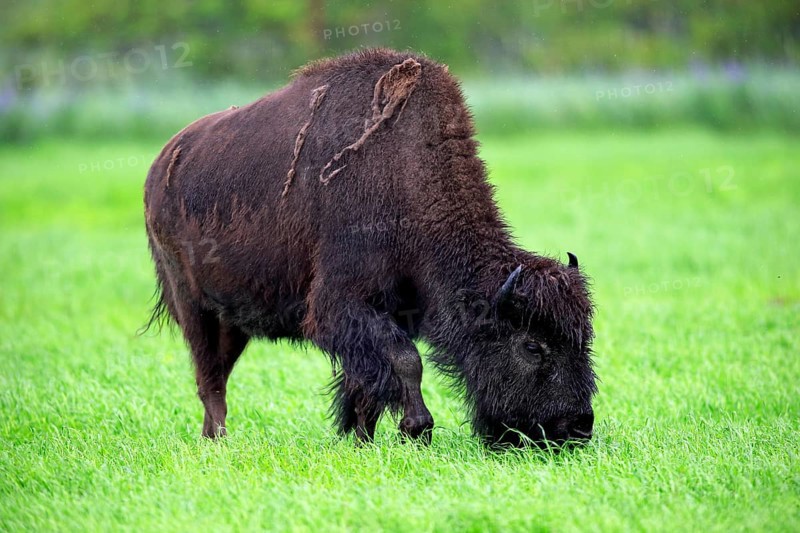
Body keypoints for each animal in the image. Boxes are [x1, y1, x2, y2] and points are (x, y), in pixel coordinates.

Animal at [144, 48, 596, 447]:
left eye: (585, 340)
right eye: (532, 345)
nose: (578, 427)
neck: (406, 176)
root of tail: (160, 166)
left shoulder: (385, 312)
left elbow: (367, 380)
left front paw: (361, 437)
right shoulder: (341, 305)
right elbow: (404, 360)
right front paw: (416, 428)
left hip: (233, 322)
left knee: (218, 373)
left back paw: (211, 439)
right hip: (194, 308)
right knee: (210, 379)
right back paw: (220, 442)